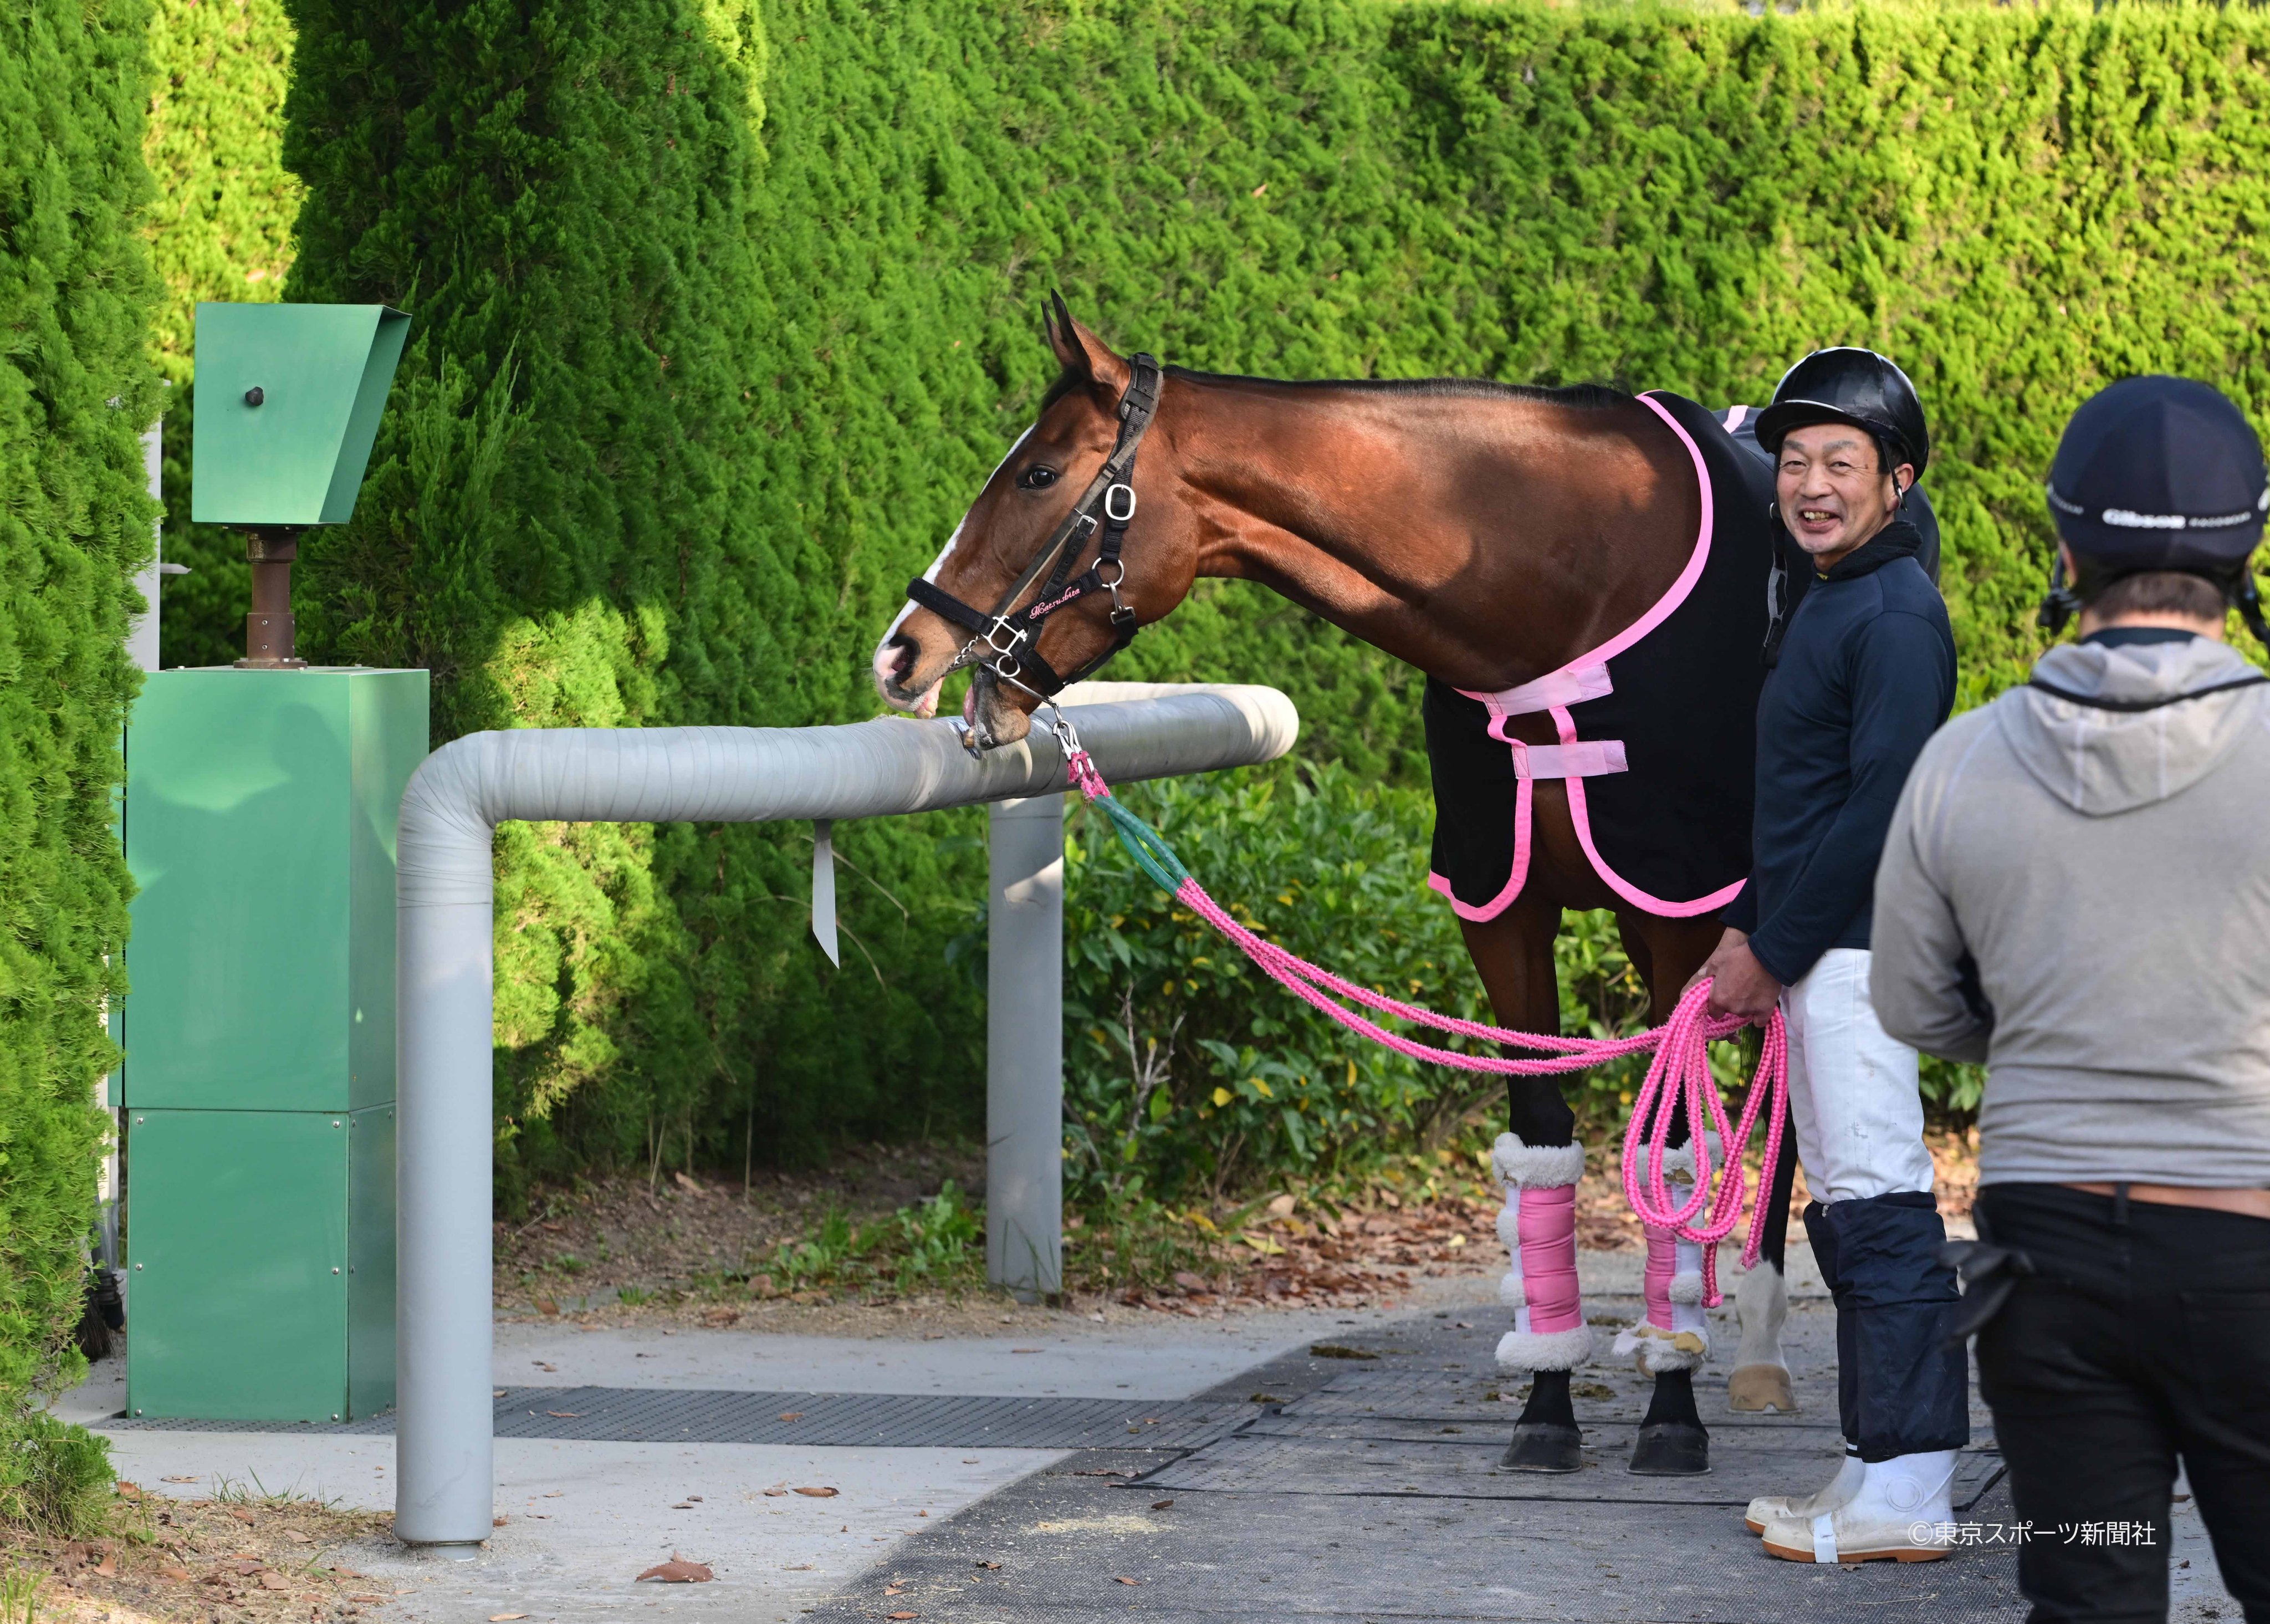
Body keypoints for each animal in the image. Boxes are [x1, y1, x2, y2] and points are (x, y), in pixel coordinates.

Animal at [872, 295, 1799, 1477]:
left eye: (1037, 473)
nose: (901, 653)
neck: (1567, 582)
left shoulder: (1672, 904)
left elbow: (1675, 1149)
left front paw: (1671, 1409)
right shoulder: (1502, 909)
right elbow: (1543, 1140)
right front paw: (1546, 1403)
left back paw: (1760, 1340)